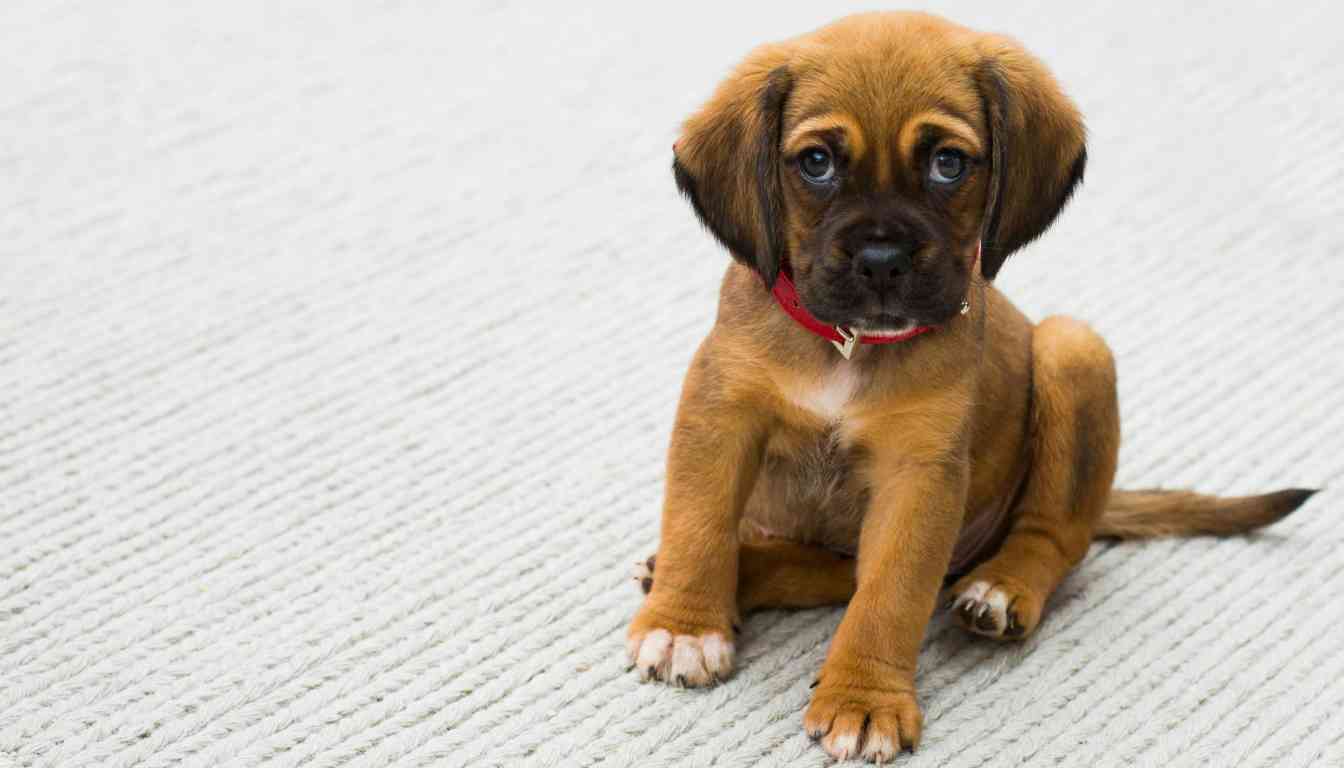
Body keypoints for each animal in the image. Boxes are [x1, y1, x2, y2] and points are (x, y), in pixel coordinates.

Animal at [626, 12, 1311, 763]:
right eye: (817, 163)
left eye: (947, 164)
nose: (882, 261)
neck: (849, 346)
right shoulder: (719, 417)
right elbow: (698, 525)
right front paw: (686, 625)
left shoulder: (918, 477)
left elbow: (891, 596)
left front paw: (864, 699)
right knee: (827, 571)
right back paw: (733, 573)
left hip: (1073, 349)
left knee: (1054, 537)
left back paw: (1003, 588)